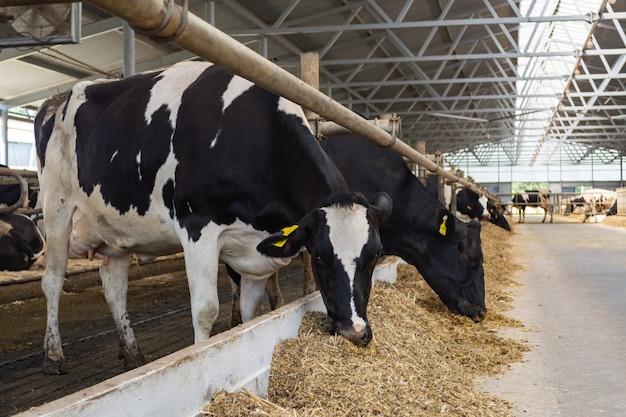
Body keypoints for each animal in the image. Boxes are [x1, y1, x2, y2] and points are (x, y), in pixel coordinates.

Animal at [34, 61, 390, 374]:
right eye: (318, 256)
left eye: (374, 256)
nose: (356, 332)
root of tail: (54, 101)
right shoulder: (197, 227)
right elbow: (206, 310)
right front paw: (201, 356)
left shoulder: (255, 251)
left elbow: (250, 311)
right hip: (56, 205)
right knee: (52, 279)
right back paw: (53, 355)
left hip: (115, 227)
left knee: (114, 288)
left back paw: (133, 354)